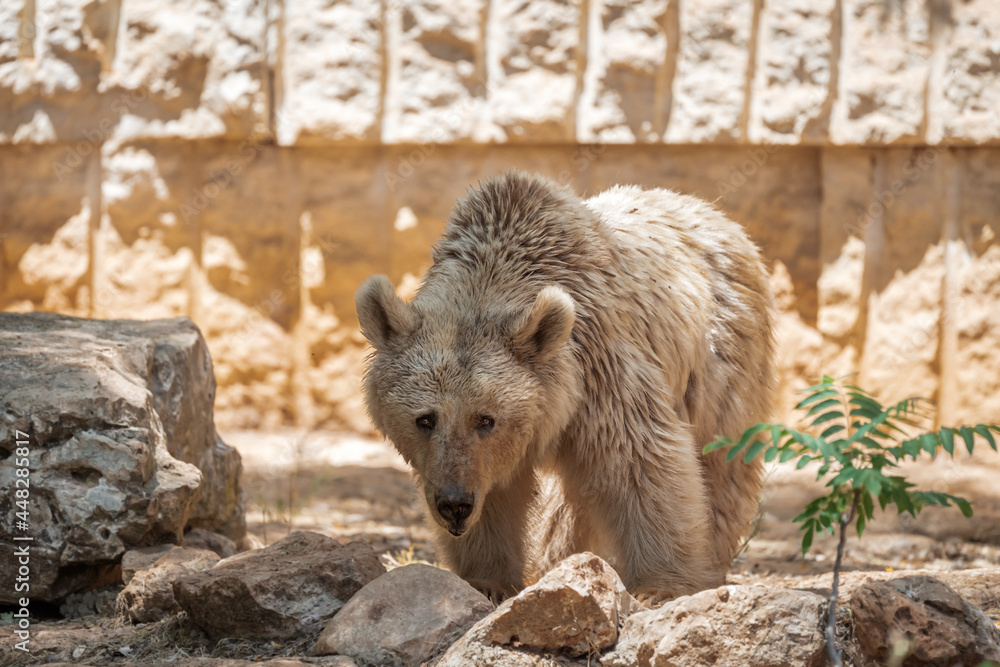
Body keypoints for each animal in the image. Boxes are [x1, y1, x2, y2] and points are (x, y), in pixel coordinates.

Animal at [356, 170, 774, 603]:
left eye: (486, 419)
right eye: (425, 419)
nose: (454, 504)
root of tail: (714, 212)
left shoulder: (601, 370)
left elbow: (641, 461)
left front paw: (661, 586)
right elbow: (498, 497)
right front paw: (488, 580)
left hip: (721, 358)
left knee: (722, 460)